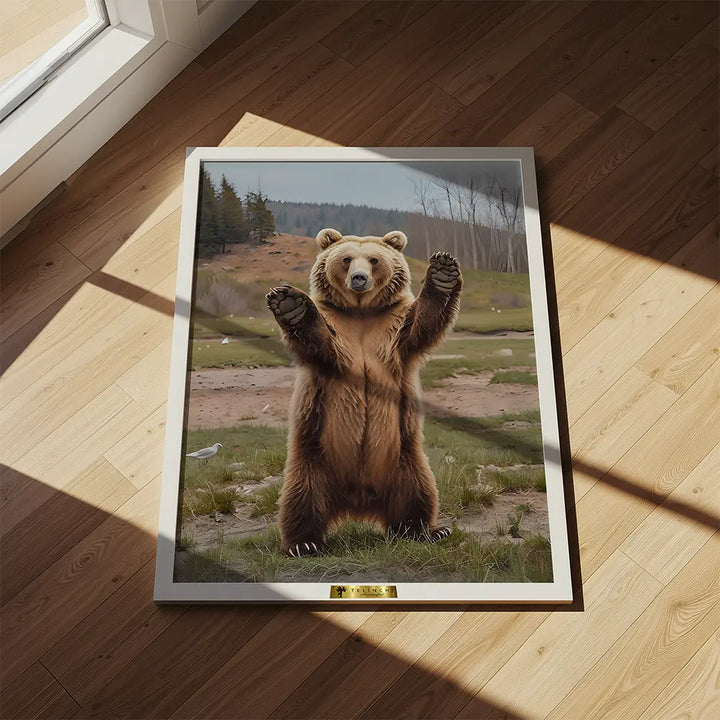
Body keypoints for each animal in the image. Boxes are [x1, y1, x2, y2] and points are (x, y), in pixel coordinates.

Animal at [266, 228, 462, 557]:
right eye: (346, 259)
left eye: (373, 259)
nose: (359, 278)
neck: (360, 312)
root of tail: (357, 501)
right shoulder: (337, 327)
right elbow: (321, 343)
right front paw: (290, 304)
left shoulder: (391, 327)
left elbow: (421, 323)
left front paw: (443, 272)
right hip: (315, 454)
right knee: (301, 495)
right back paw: (303, 543)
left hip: (403, 456)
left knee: (418, 490)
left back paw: (426, 530)